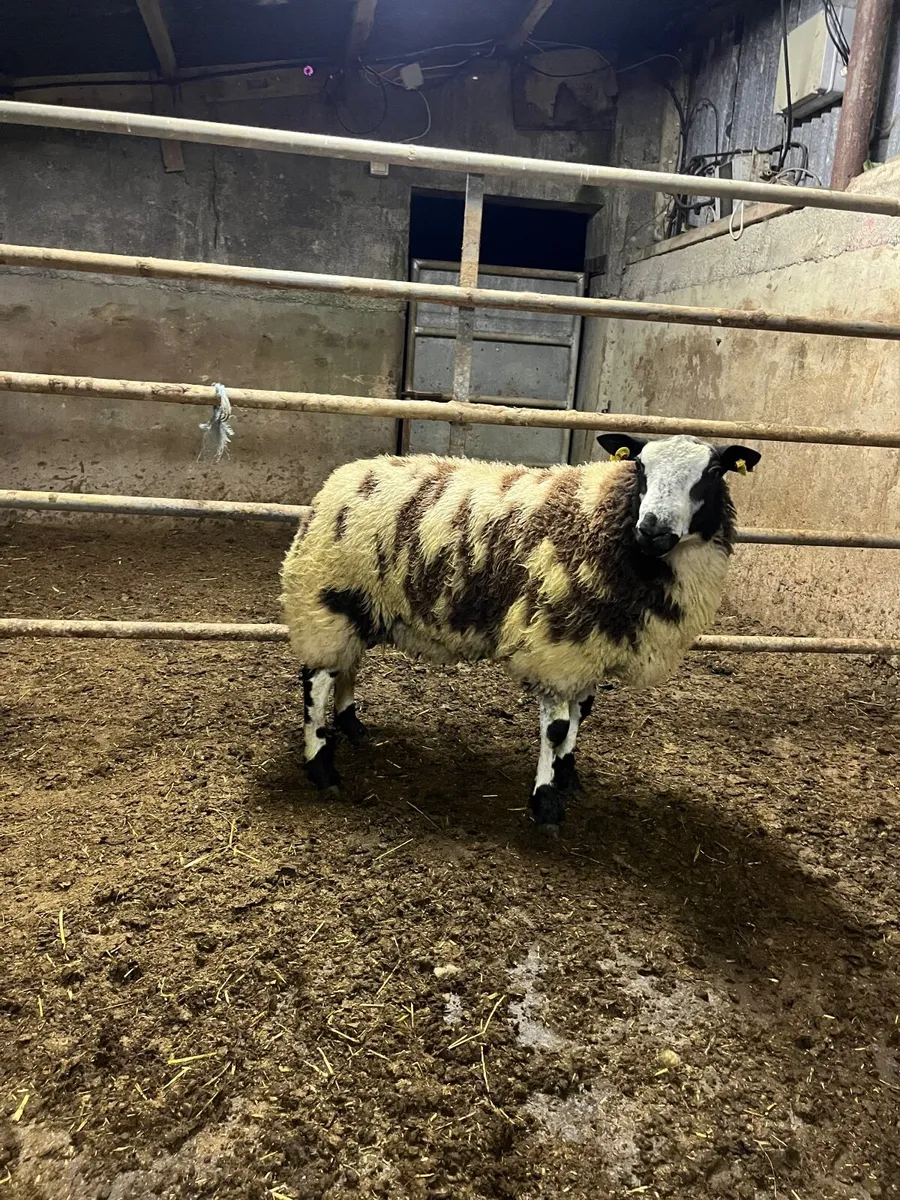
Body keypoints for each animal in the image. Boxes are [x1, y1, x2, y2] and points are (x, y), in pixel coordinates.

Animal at [279, 433, 761, 833]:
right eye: (640, 466)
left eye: (713, 472)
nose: (653, 529)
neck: (603, 518)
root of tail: (345, 475)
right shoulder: (555, 642)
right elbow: (558, 728)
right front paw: (546, 803)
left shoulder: (587, 643)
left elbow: (581, 715)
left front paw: (567, 776)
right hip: (327, 596)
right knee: (316, 680)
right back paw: (322, 767)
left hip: (358, 606)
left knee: (347, 665)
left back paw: (352, 725)